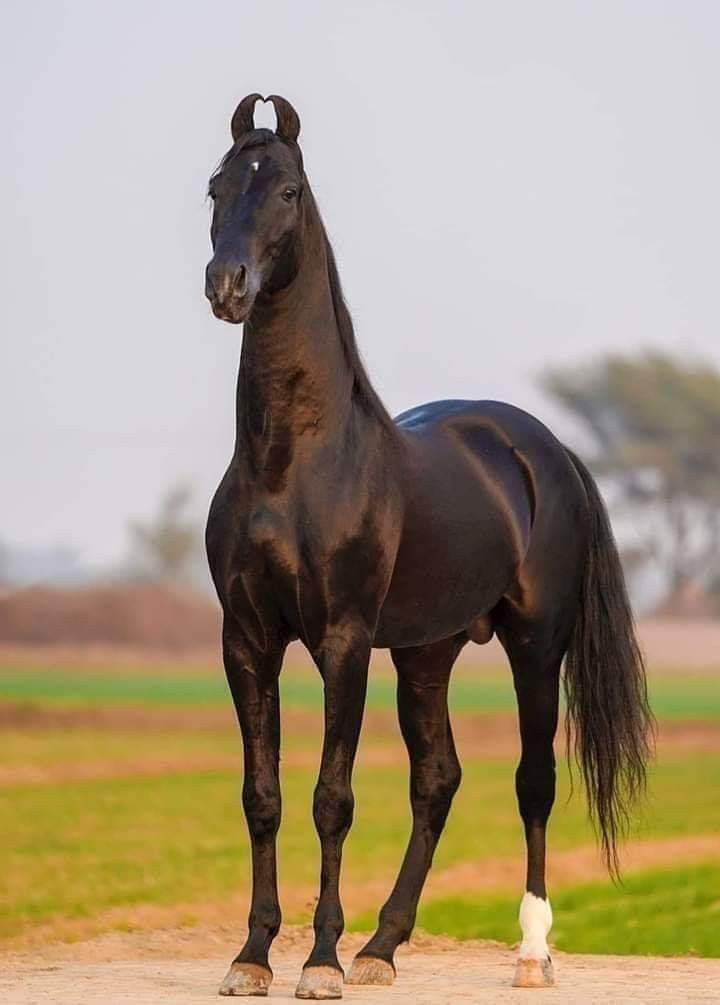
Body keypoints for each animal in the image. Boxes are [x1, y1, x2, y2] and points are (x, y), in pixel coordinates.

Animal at [202, 92, 651, 996]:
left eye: (288, 192)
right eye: (214, 188)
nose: (227, 286)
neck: (293, 464)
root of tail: (542, 446)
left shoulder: (343, 641)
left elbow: (331, 797)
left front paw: (321, 961)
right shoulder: (248, 639)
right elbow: (262, 794)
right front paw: (253, 956)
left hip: (535, 643)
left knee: (534, 784)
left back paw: (530, 953)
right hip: (426, 652)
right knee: (437, 781)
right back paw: (383, 946)